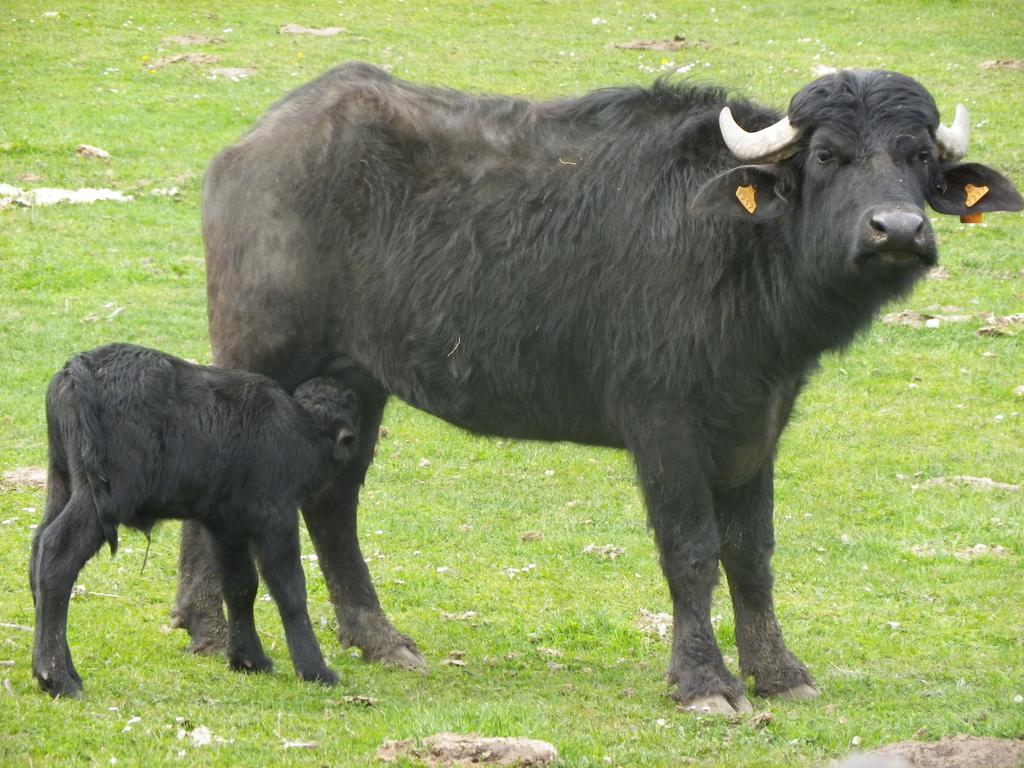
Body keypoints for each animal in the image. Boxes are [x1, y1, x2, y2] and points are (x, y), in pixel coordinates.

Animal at [29, 346, 358, 700]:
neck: (298, 429)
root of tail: (78, 366)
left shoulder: (224, 525)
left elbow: (241, 585)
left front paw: (248, 660)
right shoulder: (276, 517)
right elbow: (289, 591)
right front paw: (316, 670)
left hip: (62, 481)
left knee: (37, 551)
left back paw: (63, 673)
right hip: (102, 495)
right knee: (57, 553)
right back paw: (56, 678)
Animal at [172, 66, 1019, 716]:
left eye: (916, 155)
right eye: (830, 155)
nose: (897, 229)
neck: (735, 248)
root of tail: (246, 149)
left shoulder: (759, 425)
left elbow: (753, 554)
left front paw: (779, 673)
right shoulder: (663, 425)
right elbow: (693, 550)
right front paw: (704, 681)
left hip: (357, 377)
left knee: (334, 496)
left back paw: (379, 637)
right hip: (261, 356)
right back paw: (206, 627)